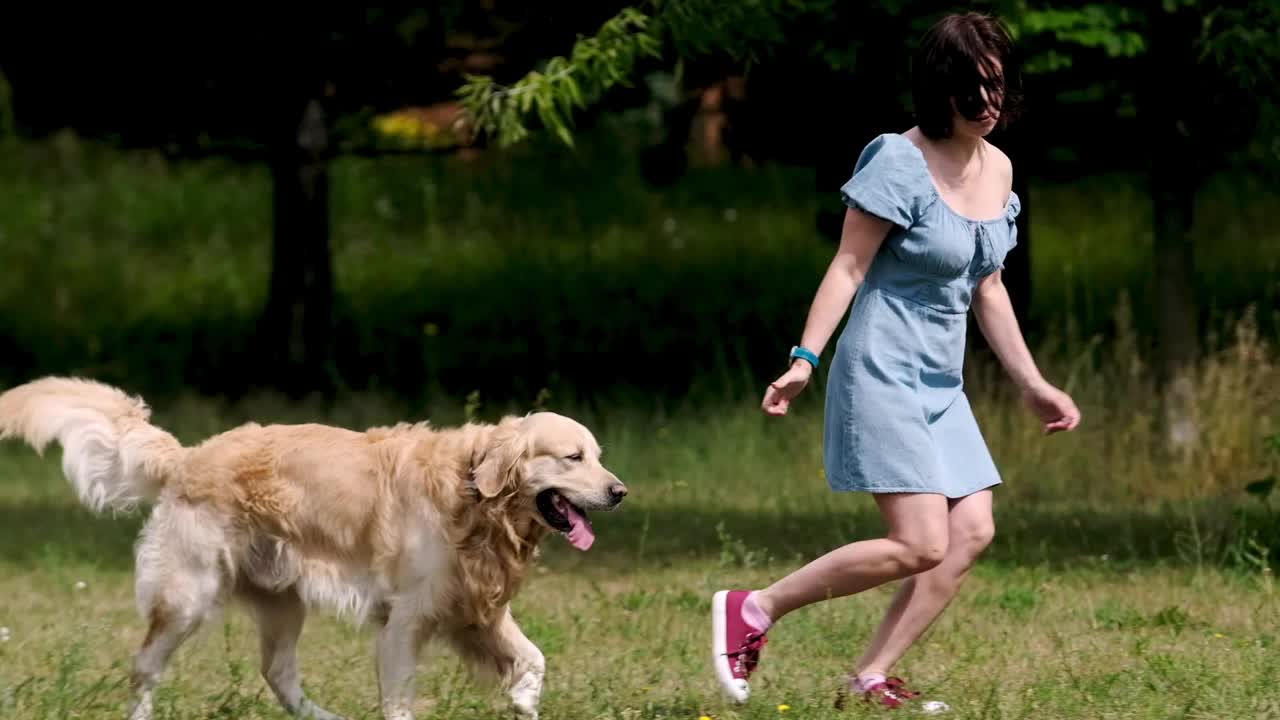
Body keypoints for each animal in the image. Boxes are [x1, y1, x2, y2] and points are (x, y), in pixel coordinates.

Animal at [0, 376, 624, 717]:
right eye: (573, 457)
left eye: (598, 455)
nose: (620, 491)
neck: (472, 495)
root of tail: (187, 456)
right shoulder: (405, 624)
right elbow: (400, 702)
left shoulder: (477, 612)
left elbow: (534, 660)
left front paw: (524, 704)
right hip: (188, 599)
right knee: (144, 666)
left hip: (282, 602)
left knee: (278, 675)